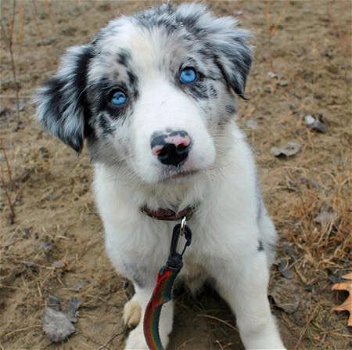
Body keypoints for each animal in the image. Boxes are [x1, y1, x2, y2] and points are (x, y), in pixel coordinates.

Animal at [35, 4, 286, 348]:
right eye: (116, 97)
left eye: (188, 74)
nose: (172, 147)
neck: (176, 211)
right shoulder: (144, 264)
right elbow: (154, 309)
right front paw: (143, 338)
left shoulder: (243, 256)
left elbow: (254, 318)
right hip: (119, 249)